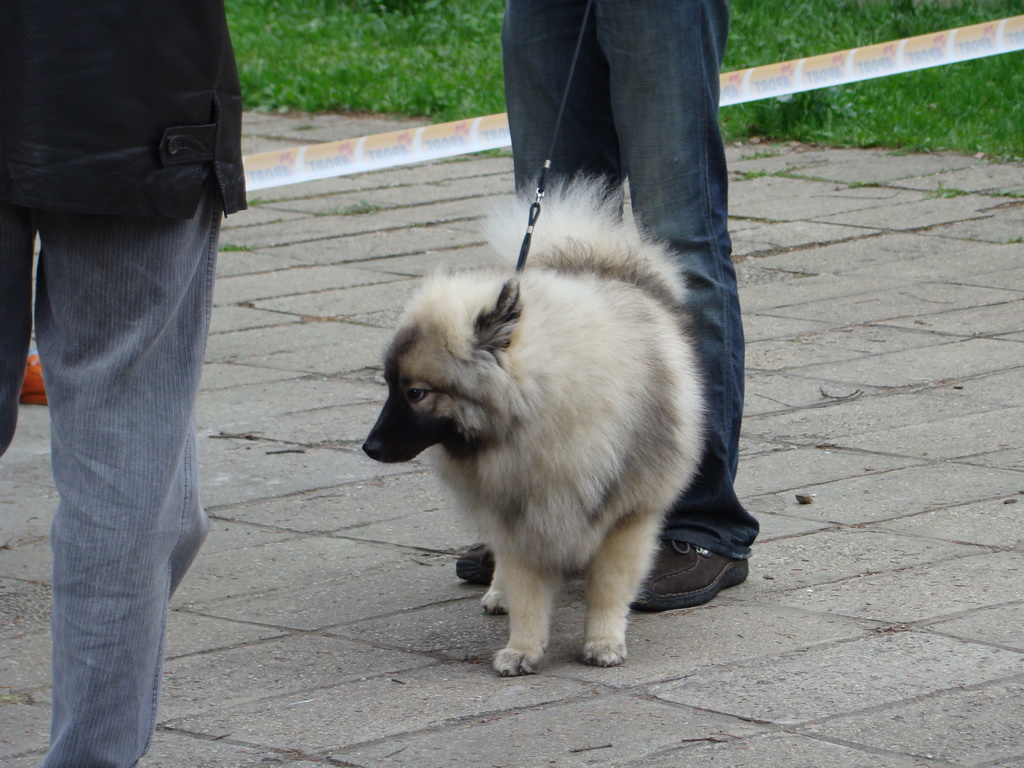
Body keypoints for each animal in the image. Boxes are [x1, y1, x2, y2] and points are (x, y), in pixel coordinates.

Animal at [364, 177, 708, 675]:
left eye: (415, 393)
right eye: (390, 386)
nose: (369, 447)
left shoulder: (626, 518)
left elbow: (608, 589)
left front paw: (603, 641)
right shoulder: (519, 516)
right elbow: (527, 594)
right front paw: (523, 649)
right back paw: (497, 593)